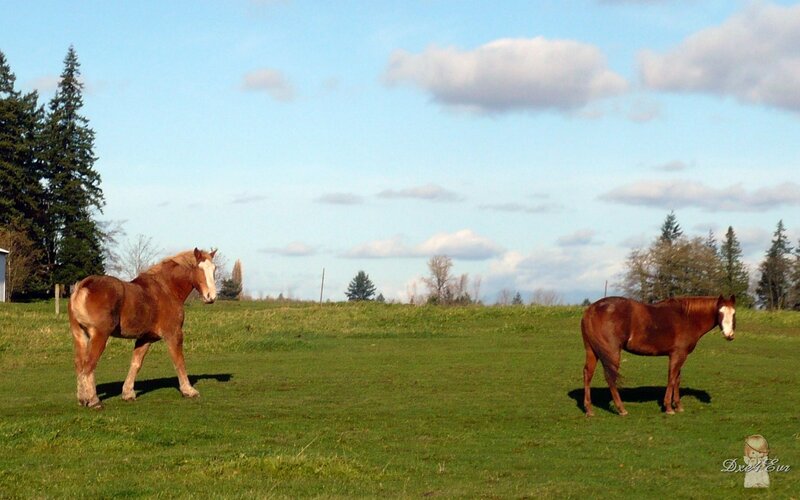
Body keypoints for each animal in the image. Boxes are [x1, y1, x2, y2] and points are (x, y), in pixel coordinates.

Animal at [68, 248, 217, 409]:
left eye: (214, 269)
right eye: (199, 268)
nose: (211, 296)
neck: (165, 289)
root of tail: (83, 285)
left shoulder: (145, 338)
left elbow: (136, 364)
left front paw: (128, 393)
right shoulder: (174, 334)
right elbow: (179, 362)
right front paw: (188, 390)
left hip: (80, 335)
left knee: (80, 365)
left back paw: (82, 399)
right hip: (99, 337)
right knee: (89, 365)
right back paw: (94, 400)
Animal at [581, 295, 736, 416]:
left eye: (734, 314)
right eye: (720, 312)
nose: (729, 335)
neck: (687, 318)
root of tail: (591, 310)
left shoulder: (678, 355)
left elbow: (677, 379)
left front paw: (678, 406)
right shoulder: (678, 355)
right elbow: (671, 379)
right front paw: (668, 407)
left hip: (592, 351)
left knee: (588, 374)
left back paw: (589, 409)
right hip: (612, 353)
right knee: (610, 378)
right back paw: (621, 409)